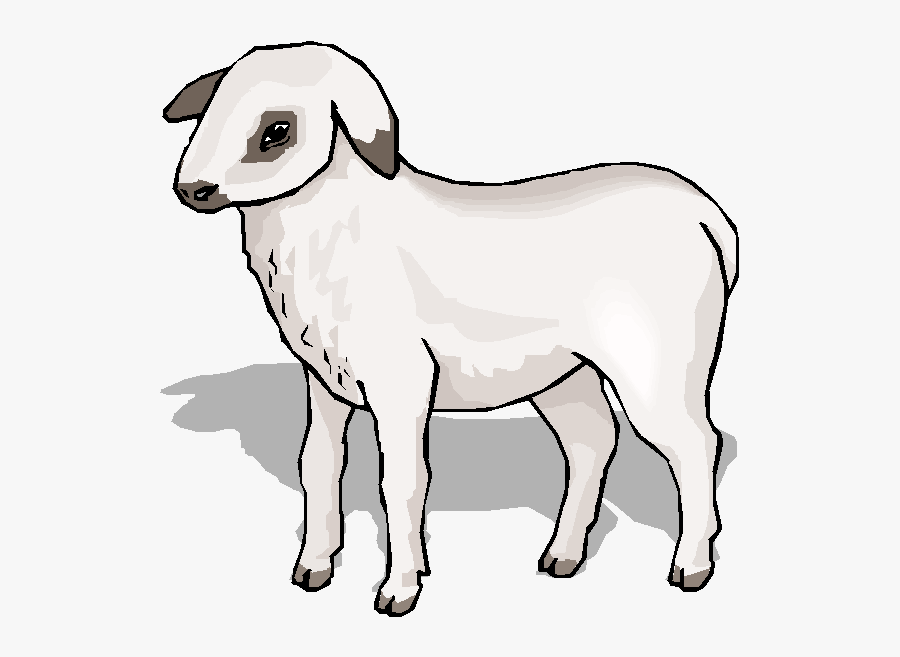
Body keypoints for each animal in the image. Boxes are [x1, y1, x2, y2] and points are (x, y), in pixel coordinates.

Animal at [164, 42, 739, 617]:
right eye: (211, 108)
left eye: (277, 130)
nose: (192, 189)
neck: (338, 230)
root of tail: (702, 210)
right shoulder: (323, 378)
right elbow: (319, 466)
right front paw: (314, 569)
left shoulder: (402, 379)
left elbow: (400, 481)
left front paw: (399, 590)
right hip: (564, 372)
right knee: (592, 441)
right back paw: (562, 557)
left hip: (657, 364)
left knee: (696, 446)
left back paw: (691, 567)